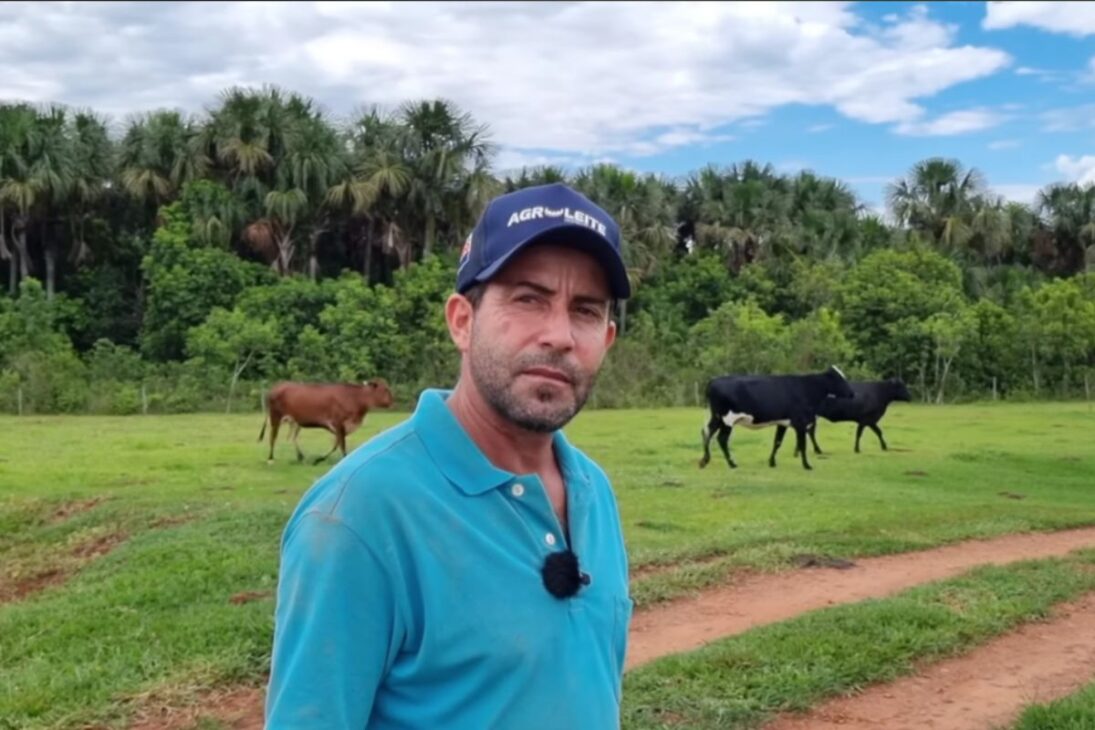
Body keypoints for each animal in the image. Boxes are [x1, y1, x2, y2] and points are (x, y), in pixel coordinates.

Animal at [258, 379, 394, 465]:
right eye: (385, 389)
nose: (392, 401)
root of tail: (278, 385)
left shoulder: (340, 427)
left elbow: (336, 444)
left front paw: (319, 460)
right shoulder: (338, 423)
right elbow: (341, 445)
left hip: (295, 421)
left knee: (293, 437)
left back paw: (300, 456)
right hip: (275, 417)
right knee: (273, 437)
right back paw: (271, 459)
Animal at [698, 366, 854, 471]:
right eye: (840, 379)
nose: (852, 393)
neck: (807, 389)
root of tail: (713, 381)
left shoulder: (783, 422)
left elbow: (777, 442)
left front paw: (771, 462)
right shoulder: (800, 423)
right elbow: (802, 445)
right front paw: (807, 465)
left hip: (717, 417)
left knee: (707, 432)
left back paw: (704, 461)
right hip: (727, 419)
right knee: (721, 439)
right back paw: (732, 464)